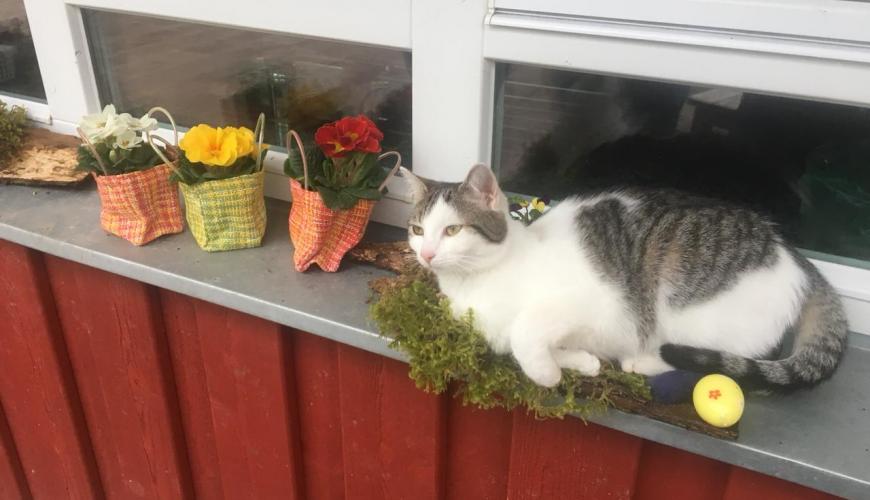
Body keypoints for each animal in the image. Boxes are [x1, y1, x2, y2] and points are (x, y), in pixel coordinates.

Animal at [404, 164, 852, 390]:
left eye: (452, 230)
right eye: (417, 229)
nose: (426, 254)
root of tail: (796, 258)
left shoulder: (597, 301)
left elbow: (525, 331)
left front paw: (548, 374)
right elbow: (524, 342)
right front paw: (579, 361)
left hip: (681, 305)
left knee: (705, 355)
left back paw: (643, 360)